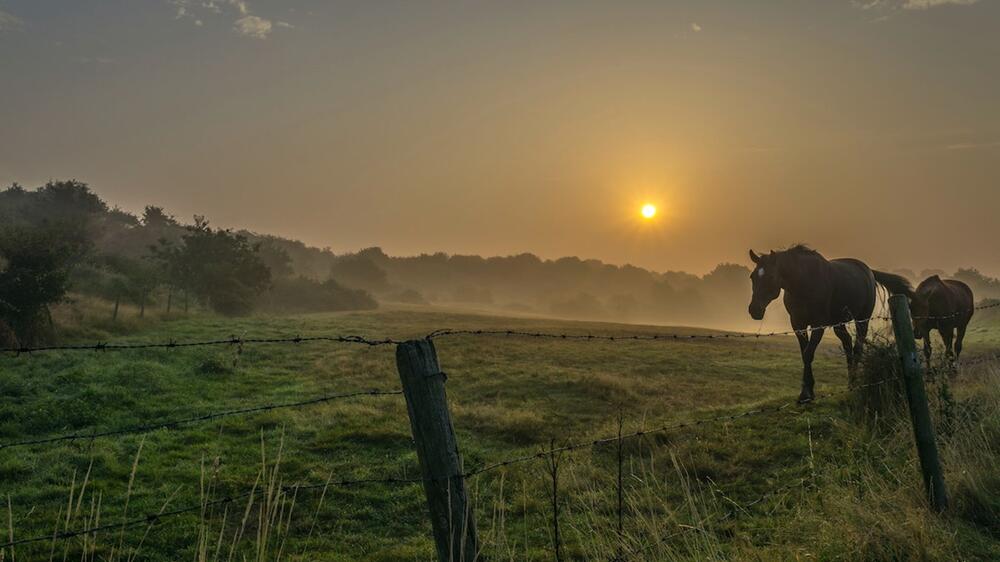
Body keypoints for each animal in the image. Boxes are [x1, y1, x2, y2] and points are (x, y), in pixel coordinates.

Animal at [748, 245, 912, 402]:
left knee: (857, 347)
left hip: (862, 320)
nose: (754, 310)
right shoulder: (798, 324)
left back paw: (854, 382)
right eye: (752, 277)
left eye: (770, 276)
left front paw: (806, 394)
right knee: (847, 344)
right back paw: (850, 382)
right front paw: (807, 391)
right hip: (838, 323)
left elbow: (808, 353)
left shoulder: (818, 325)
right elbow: (804, 353)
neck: (804, 284)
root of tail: (868, 271)